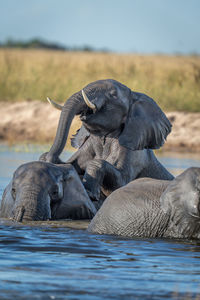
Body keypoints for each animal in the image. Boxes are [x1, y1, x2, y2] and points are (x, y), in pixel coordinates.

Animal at [40, 79, 173, 202]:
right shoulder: (89, 145)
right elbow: (70, 164)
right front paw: (45, 159)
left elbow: (120, 183)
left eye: (113, 95)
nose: (49, 158)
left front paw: (90, 194)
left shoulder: (133, 154)